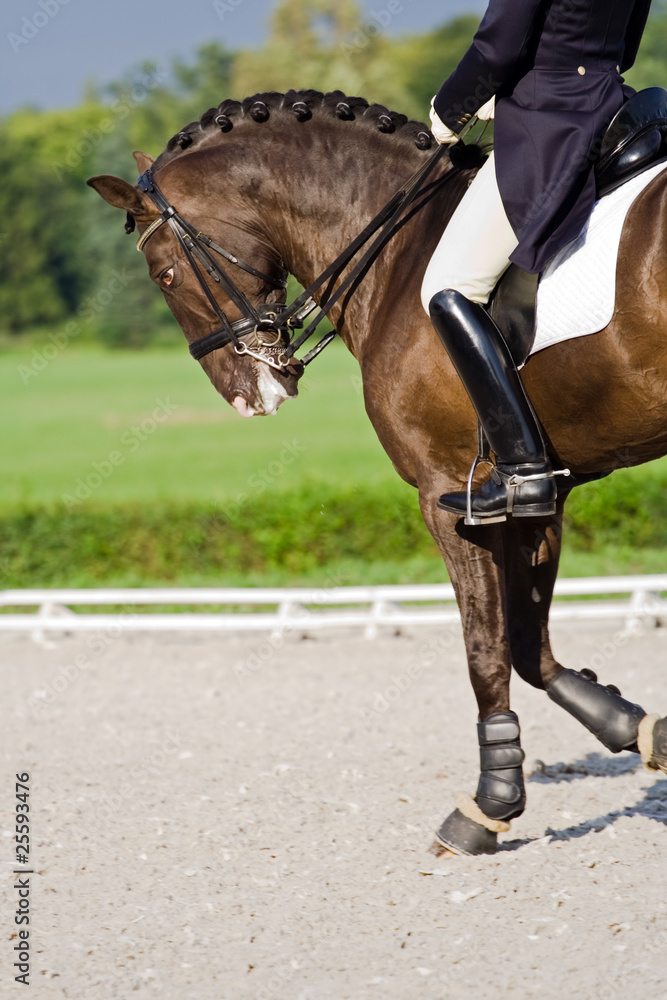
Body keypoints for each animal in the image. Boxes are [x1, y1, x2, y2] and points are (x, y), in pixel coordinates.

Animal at [88, 88, 667, 857]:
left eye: (165, 275)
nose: (250, 396)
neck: (398, 251)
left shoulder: (450, 496)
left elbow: (485, 649)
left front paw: (488, 806)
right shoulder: (540, 491)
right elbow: (528, 646)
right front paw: (636, 729)